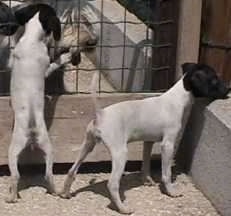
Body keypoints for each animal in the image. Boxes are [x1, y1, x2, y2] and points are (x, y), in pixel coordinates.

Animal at [7, 2, 71, 202]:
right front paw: (65, 57)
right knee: (44, 175)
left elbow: (54, 63)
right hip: (44, 148)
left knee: (21, 175)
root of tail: (32, 127)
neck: (32, 39)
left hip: (21, 149)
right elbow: (54, 63)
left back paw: (13, 196)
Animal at [60, 62, 230, 214]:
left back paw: (65, 193)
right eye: (214, 79)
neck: (177, 99)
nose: (228, 89)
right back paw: (123, 208)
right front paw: (171, 191)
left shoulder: (148, 141)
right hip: (120, 153)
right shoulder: (167, 144)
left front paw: (146, 180)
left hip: (87, 146)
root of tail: (101, 114)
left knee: (71, 170)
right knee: (112, 183)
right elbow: (166, 173)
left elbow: (146, 163)